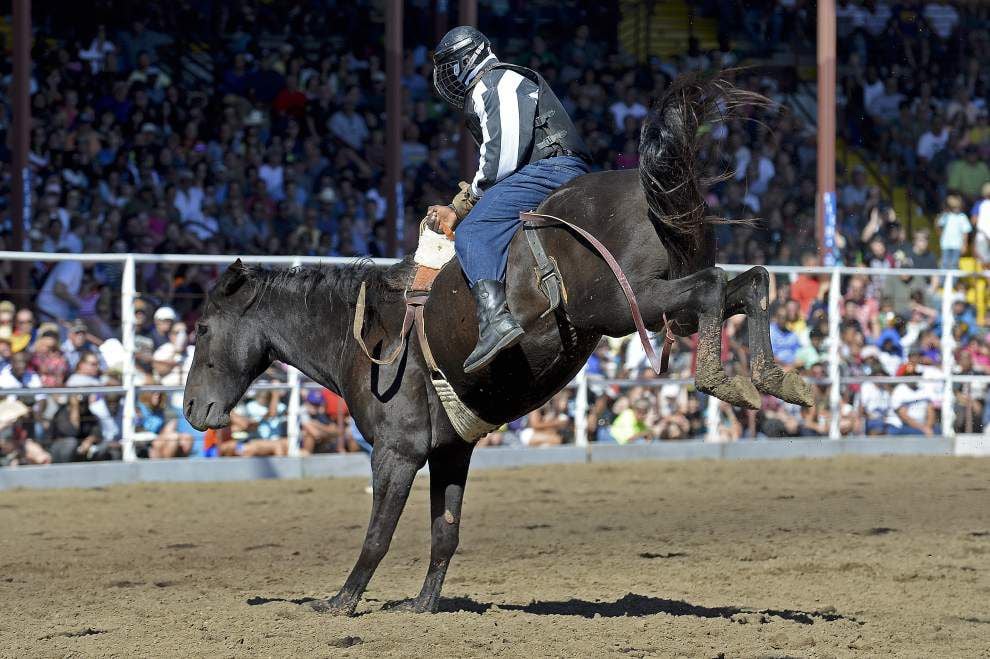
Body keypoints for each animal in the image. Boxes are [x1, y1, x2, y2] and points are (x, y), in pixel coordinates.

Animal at [180, 75, 812, 616]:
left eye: (203, 328)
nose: (190, 408)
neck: (367, 331)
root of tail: (643, 182)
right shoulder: (450, 448)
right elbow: (445, 532)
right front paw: (422, 605)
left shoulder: (397, 449)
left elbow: (379, 534)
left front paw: (340, 601)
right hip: (660, 302)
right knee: (748, 282)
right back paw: (779, 380)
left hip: (616, 305)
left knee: (714, 287)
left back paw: (725, 380)